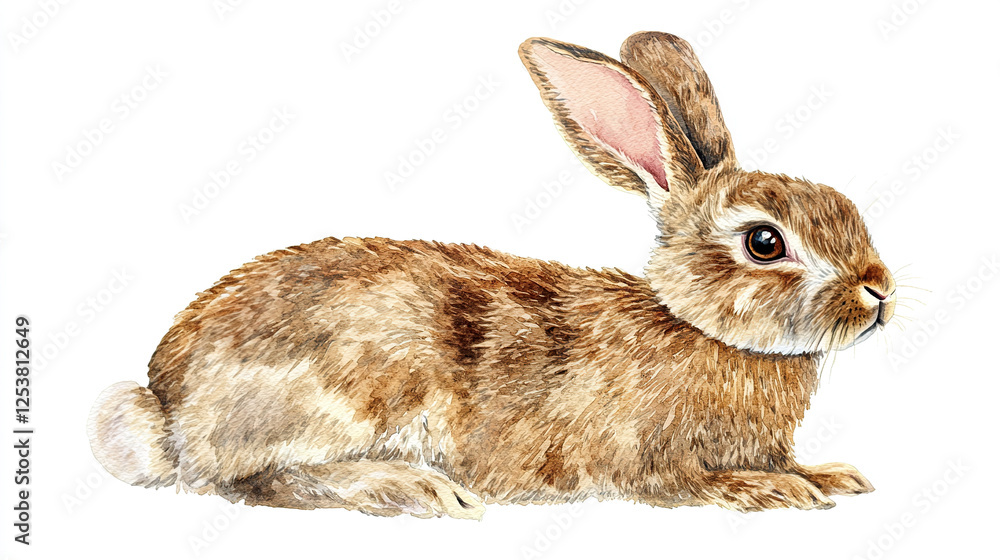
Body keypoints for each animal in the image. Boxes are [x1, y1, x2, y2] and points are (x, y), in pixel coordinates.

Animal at [88, 31, 896, 520]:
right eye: (765, 242)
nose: (878, 291)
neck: (695, 325)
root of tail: (167, 406)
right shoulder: (648, 463)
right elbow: (690, 482)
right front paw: (775, 488)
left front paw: (831, 475)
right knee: (254, 480)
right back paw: (412, 489)